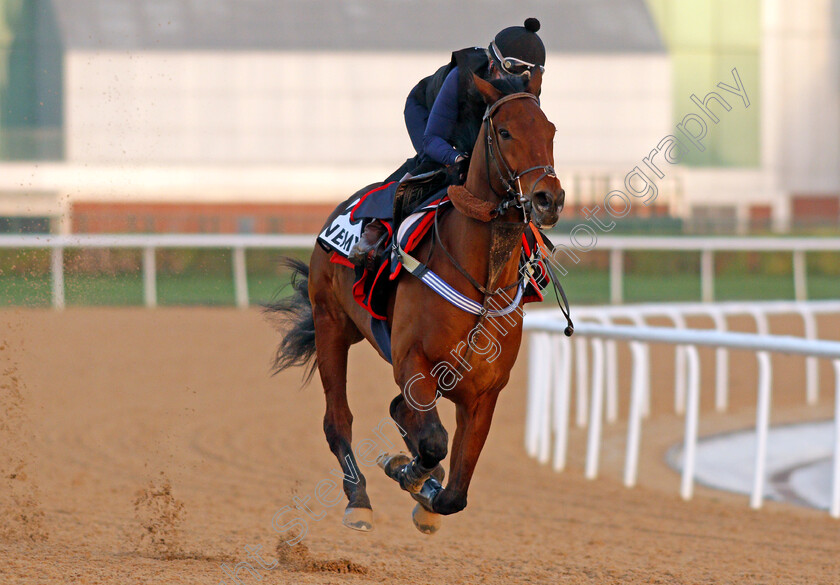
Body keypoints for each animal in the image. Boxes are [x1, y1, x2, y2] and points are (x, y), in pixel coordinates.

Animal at [270, 69, 564, 532]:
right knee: (338, 420)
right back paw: (359, 499)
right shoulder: (413, 361)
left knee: (398, 413)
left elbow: (454, 493)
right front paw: (405, 471)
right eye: (504, 131)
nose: (548, 199)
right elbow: (433, 442)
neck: (481, 284)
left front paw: (424, 493)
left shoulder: (485, 391)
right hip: (330, 323)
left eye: (550, 130)